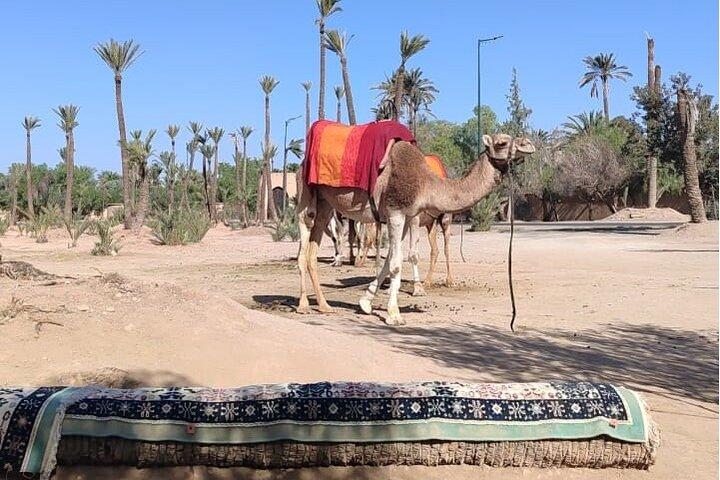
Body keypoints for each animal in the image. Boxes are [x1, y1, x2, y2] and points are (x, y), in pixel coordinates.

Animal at [296, 133, 535, 325]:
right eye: (502, 142)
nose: (529, 144)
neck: (426, 183)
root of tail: (301, 165)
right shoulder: (396, 212)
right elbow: (395, 264)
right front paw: (394, 315)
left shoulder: (407, 216)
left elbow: (391, 261)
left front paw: (366, 303)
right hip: (306, 193)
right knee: (304, 232)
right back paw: (303, 305)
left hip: (326, 202)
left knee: (313, 249)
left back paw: (324, 305)